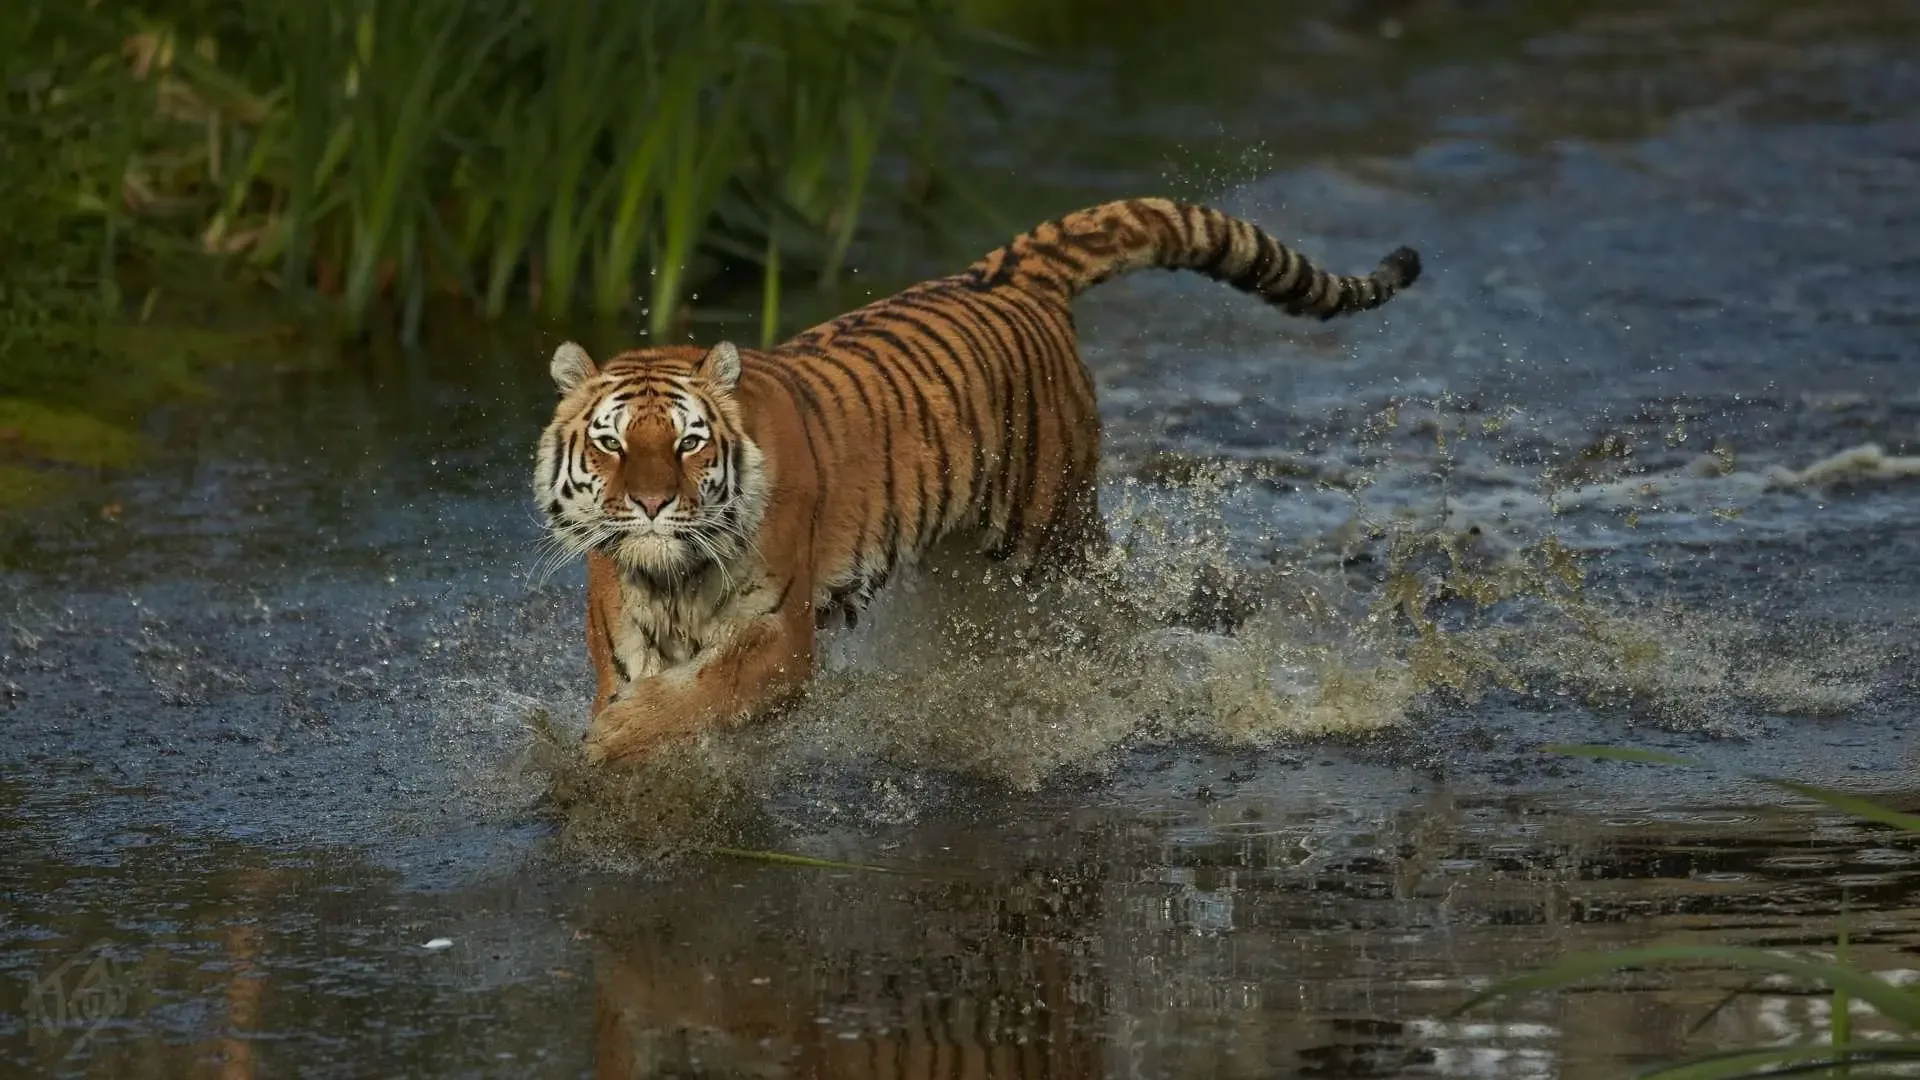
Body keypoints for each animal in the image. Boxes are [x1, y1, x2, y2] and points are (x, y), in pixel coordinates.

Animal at [533, 196, 1421, 765]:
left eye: (689, 443)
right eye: (611, 443)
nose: (652, 504)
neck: (671, 578)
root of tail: (1006, 270)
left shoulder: (780, 638)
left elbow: (701, 694)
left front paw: (612, 739)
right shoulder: (630, 645)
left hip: (1056, 534)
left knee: (1120, 614)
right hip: (966, 562)